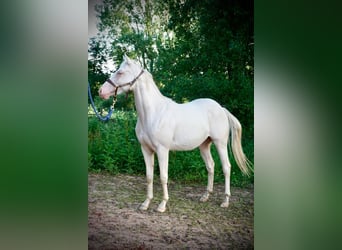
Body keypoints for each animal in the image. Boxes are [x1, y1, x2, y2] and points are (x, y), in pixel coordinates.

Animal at [99, 55, 251, 212]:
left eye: (120, 72)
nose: (101, 91)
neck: (153, 113)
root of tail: (221, 108)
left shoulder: (162, 150)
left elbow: (163, 177)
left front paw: (162, 205)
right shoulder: (146, 149)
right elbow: (149, 177)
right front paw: (145, 203)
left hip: (220, 143)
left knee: (226, 167)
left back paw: (225, 200)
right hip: (204, 145)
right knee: (211, 166)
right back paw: (205, 196)